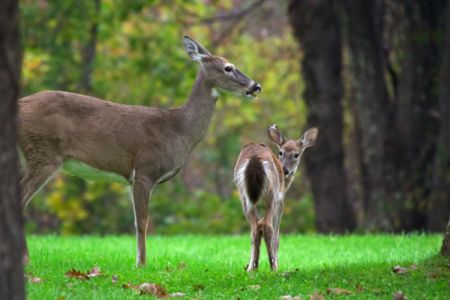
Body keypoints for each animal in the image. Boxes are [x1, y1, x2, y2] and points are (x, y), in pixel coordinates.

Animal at [20, 35, 260, 268]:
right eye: (228, 67)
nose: (255, 86)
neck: (179, 129)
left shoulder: (134, 178)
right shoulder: (145, 170)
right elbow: (142, 221)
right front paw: (141, 264)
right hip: (43, 152)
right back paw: (26, 261)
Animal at [234, 125, 318, 272]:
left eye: (296, 154)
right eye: (281, 152)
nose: (285, 170)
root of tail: (255, 159)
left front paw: (252, 265)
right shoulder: (281, 201)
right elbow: (277, 236)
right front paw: (275, 262)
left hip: (245, 198)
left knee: (255, 228)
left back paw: (252, 268)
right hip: (272, 197)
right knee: (267, 227)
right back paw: (273, 266)